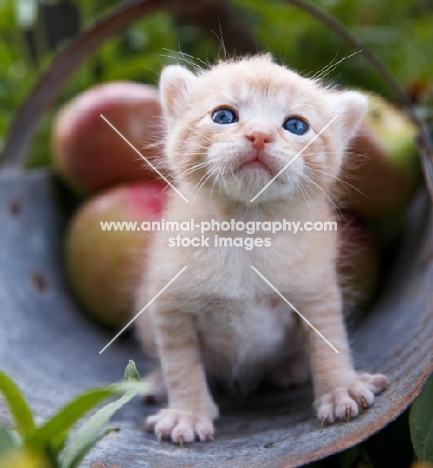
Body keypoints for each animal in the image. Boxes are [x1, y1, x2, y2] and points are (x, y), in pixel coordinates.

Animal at [134, 54, 384, 442]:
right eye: (223, 116)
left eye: (296, 125)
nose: (260, 135)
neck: (247, 230)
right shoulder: (169, 306)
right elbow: (181, 364)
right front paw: (187, 414)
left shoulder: (318, 294)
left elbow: (330, 341)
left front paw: (341, 388)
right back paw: (157, 382)